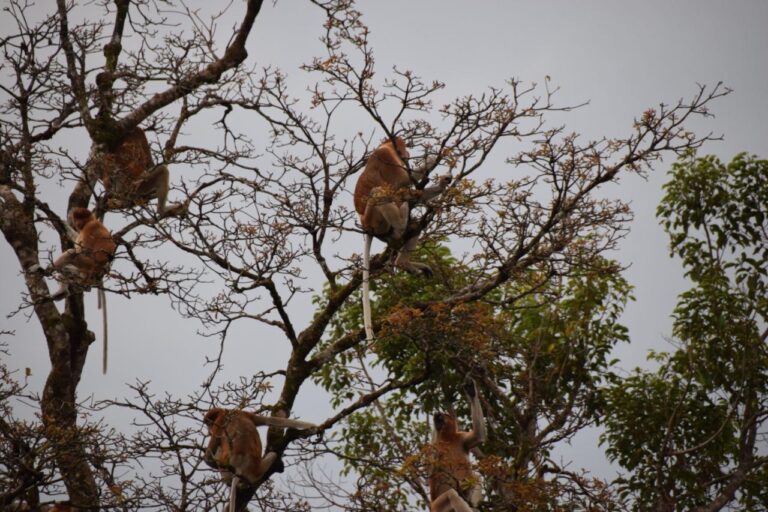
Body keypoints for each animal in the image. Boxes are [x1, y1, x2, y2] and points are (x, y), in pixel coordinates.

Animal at [51, 207, 115, 372]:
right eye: (77, 218)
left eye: (81, 218)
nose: (78, 223)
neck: (92, 220)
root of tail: (98, 272)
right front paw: (63, 223)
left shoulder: (89, 228)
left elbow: (79, 248)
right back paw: (64, 290)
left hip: (86, 265)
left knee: (72, 253)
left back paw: (49, 269)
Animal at [354, 138, 450, 342]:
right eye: (403, 148)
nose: (406, 155)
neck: (385, 146)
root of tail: (365, 226)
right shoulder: (386, 157)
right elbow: (403, 180)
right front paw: (432, 158)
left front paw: (443, 183)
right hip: (375, 219)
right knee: (379, 191)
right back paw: (400, 222)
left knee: (414, 227)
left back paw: (404, 261)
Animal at [426, 378, 486, 510]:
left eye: (445, 415)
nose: (439, 418)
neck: (448, 439)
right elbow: (431, 471)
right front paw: (437, 425)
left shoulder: (461, 438)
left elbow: (478, 436)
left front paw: (471, 391)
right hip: (438, 506)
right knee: (452, 494)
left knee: (476, 478)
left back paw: (473, 505)